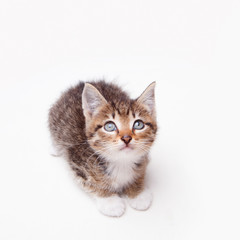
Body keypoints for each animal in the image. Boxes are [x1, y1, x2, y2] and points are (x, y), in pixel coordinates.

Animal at [48, 79, 158, 217]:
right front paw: (110, 201)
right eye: (109, 126)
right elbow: (93, 183)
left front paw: (138, 193)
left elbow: (140, 173)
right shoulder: (77, 163)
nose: (126, 138)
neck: (121, 161)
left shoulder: (144, 158)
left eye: (138, 124)